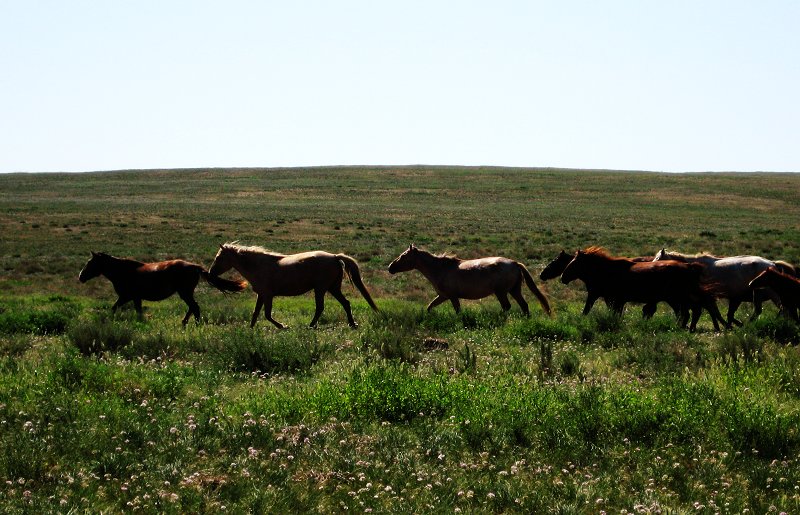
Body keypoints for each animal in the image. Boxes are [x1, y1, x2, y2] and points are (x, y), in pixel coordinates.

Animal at [79, 251, 247, 325]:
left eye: (90, 262)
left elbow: (114, 308)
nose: (81, 276)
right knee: (193, 307)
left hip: (185, 292)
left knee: (195, 307)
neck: (123, 271)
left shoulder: (126, 297)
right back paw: (185, 323)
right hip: (185, 293)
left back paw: (192, 324)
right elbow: (136, 311)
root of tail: (194, 266)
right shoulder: (134, 298)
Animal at [208, 243, 378, 329]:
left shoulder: (268, 295)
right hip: (332, 288)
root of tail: (335, 257)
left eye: (219, 258)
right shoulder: (261, 294)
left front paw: (283, 326)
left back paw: (311, 325)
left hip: (321, 289)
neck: (259, 266)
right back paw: (352, 323)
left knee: (320, 308)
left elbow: (267, 314)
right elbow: (255, 313)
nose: (211, 272)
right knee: (346, 303)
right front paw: (250, 330)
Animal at [388, 244, 551, 316]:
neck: (440, 269)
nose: (390, 267)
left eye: (403, 256)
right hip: (514, 290)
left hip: (501, 292)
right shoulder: (443, 296)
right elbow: (430, 306)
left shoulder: (452, 297)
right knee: (524, 306)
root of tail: (515, 263)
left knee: (507, 306)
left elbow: (458, 311)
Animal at [561, 247, 725, 332]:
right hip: (677, 299)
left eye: (575, 263)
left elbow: (587, 310)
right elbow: (614, 313)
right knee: (688, 313)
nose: (563, 277)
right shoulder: (613, 299)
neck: (606, 271)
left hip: (676, 299)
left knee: (688, 313)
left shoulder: (604, 297)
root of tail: (689, 266)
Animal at [653, 248, 782, 326]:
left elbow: (715, 312)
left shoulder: (708, 297)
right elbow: (717, 313)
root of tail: (772, 264)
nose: (652, 266)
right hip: (758, 294)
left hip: (770, 293)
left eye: (658, 258)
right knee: (760, 310)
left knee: (781, 307)